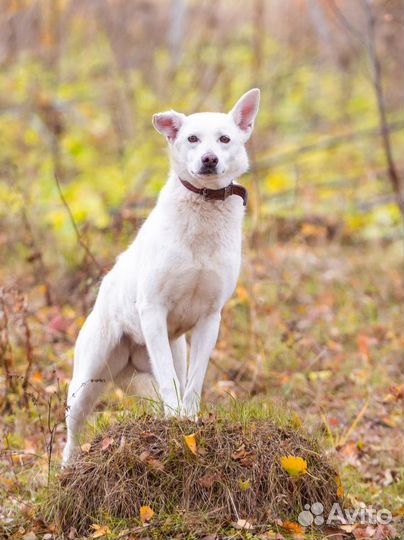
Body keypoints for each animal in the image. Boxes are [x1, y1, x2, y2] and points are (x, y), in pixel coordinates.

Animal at [62, 88, 260, 464]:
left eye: (224, 139)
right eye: (192, 138)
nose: (209, 159)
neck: (203, 212)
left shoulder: (210, 318)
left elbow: (193, 383)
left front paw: (189, 420)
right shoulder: (153, 310)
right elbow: (170, 382)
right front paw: (175, 421)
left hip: (168, 352)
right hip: (87, 379)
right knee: (72, 429)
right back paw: (65, 468)